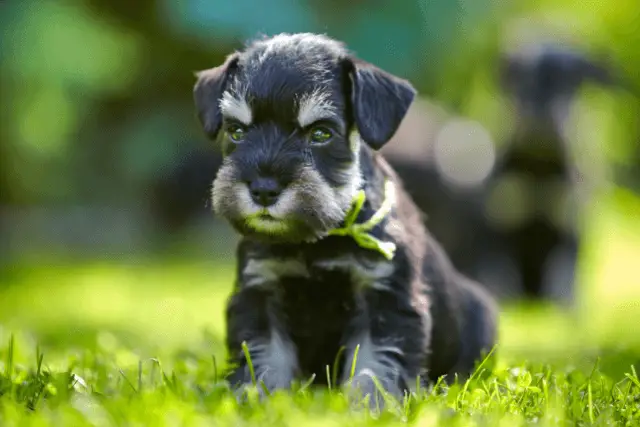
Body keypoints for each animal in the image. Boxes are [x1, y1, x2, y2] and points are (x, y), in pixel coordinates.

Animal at [192, 32, 498, 404]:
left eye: (321, 133)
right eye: (236, 130)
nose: (263, 190)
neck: (318, 239)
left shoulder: (384, 296)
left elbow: (375, 361)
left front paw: (372, 404)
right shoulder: (261, 291)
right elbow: (266, 356)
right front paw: (258, 399)